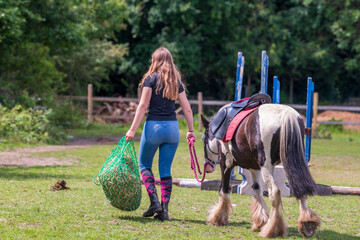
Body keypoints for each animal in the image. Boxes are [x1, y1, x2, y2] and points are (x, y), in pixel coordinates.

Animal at [201, 103, 322, 238]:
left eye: (204, 139)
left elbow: (224, 188)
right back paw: (307, 223)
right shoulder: (254, 168)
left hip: (267, 167)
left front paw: (218, 218)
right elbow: (257, 190)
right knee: (301, 189)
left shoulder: (226, 163)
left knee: (275, 192)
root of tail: (286, 114)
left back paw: (273, 229)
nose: (208, 166)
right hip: (292, 163)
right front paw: (261, 221)